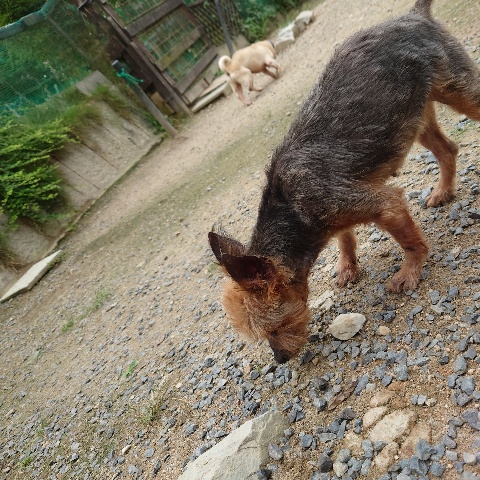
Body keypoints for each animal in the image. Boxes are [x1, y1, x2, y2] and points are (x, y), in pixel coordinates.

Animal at [209, 0, 480, 363]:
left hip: (458, 91)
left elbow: (410, 242)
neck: (290, 211)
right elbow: (345, 239)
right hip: (412, 119)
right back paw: (443, 191)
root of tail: (414, 14)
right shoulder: (336, 215)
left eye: (274, 330)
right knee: (447, 148)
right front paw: (348, 267)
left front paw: (409, 272)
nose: (280, 359)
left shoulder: (383, 204)